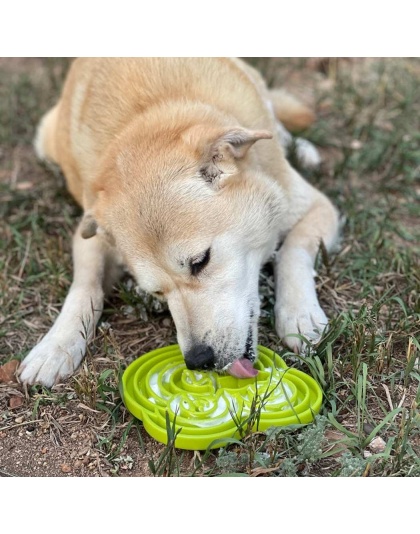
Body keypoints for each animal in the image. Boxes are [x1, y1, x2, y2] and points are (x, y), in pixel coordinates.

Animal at [19, 58, 340, 388]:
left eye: (200, 261)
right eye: (157, 292)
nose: (199, 360)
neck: (147, 118)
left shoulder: (317, 207)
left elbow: (293, 251)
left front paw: (299, 312)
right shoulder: (89, 235)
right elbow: (85, 285)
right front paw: (56, 344)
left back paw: (299, 147)